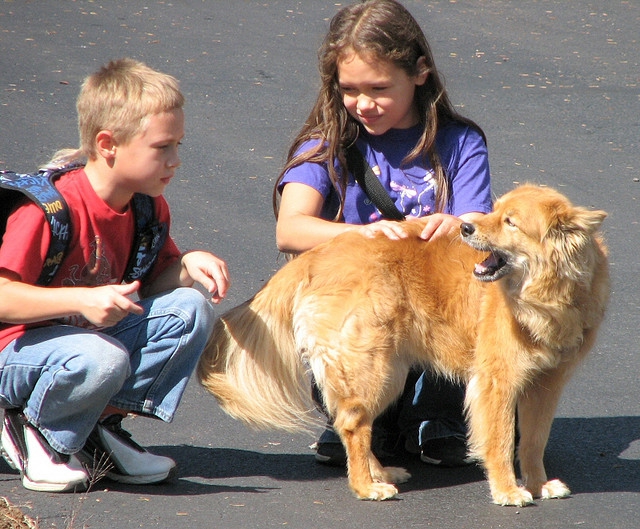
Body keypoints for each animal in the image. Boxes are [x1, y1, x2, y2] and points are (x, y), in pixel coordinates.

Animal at [200, 185, 608, 504]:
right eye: (495, 212)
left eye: (509, 221)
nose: (465, 226)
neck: (548, 294)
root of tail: (318, 254)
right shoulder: (497, 382)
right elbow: (502, 441)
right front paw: (508, 491)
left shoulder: (546, 384)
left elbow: (534, 441)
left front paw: (539, 485)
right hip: (372, 368)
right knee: (352, 424)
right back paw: (365, 487)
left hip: (388, 372)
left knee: (354, 423)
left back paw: (379, 474)